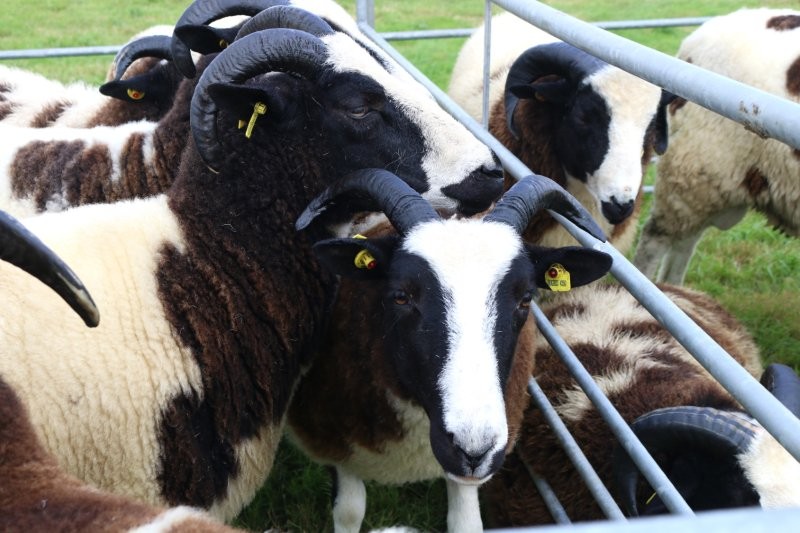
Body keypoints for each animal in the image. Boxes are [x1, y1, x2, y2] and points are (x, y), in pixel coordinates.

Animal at [287, 171, 613, 533]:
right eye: (401, 295)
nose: (474, 450)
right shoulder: (333, 442)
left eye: (526, 298)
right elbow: (349, 512)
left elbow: (465, 523)